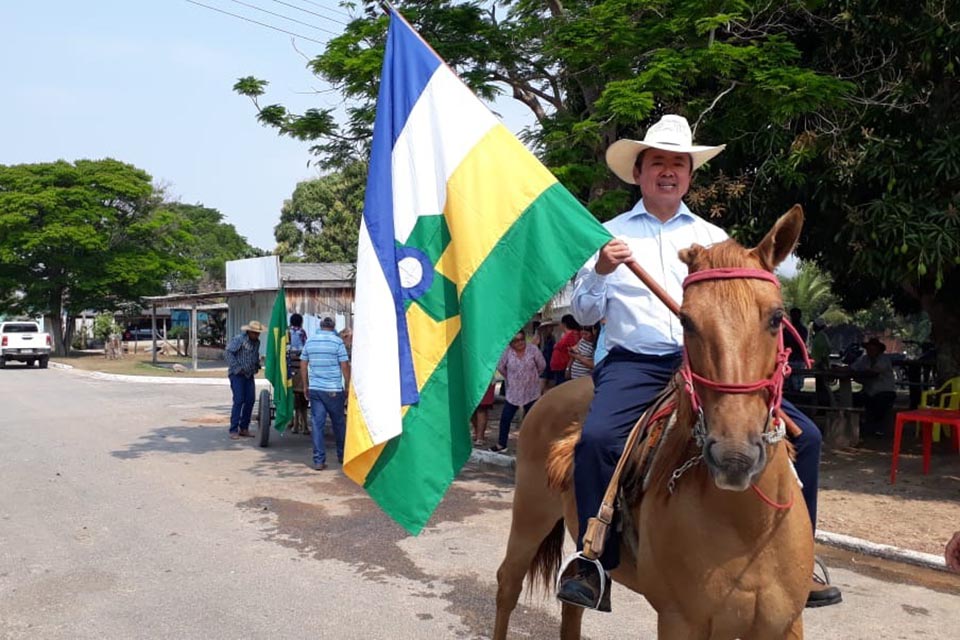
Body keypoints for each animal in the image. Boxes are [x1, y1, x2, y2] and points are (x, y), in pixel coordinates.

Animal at [498, 208, 812, 636]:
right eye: (687, 320)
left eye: (777, 318)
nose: (734, 457)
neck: (750, 526)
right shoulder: (680, 622)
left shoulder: (785, 625)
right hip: (530, 516)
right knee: (507, 585)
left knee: (571, 609)